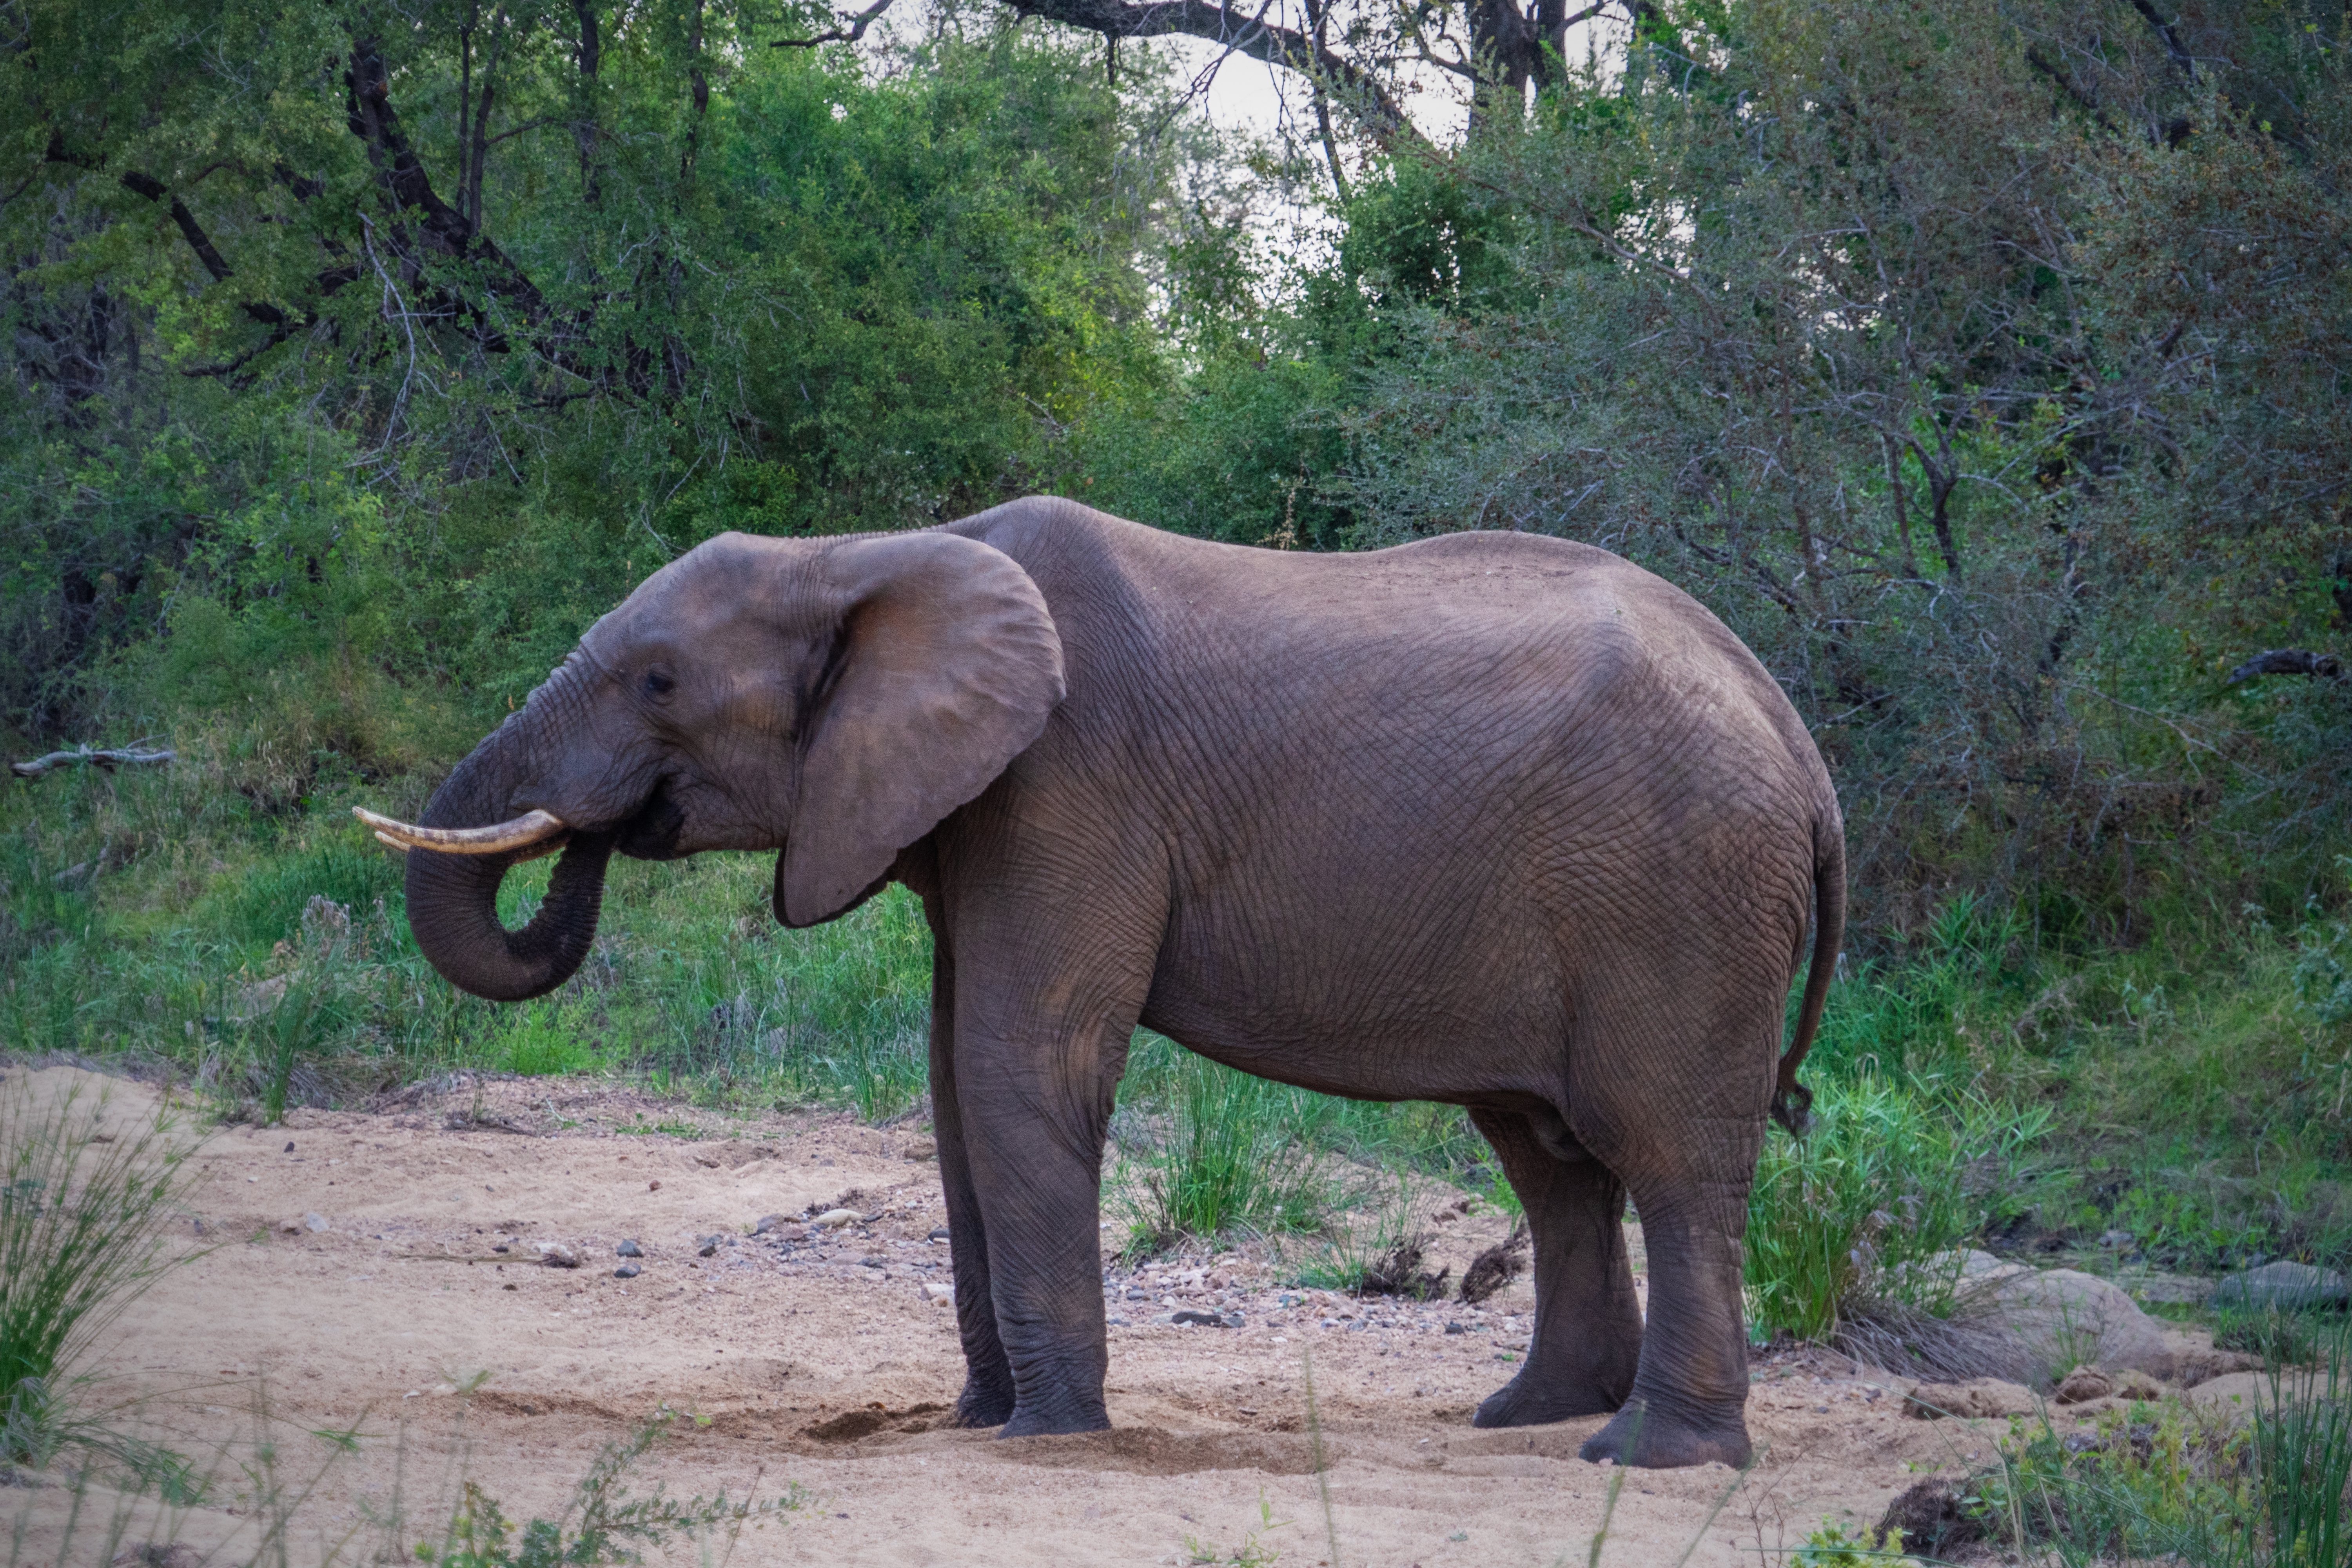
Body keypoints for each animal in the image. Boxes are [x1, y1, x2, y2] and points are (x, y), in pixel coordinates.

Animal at [357, 495, 1844, 1470]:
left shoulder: (1069, 787)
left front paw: (1048, 1433)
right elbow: (952, 1086)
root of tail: (1798, 737)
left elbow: (1019, 1064)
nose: (603, 828)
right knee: (1550, 1158)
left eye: (660, 682)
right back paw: (1530, 1416)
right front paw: (979, 1420)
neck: (867, 550)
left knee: (1668, 1156)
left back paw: (1650, 1455)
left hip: (1680, 898)